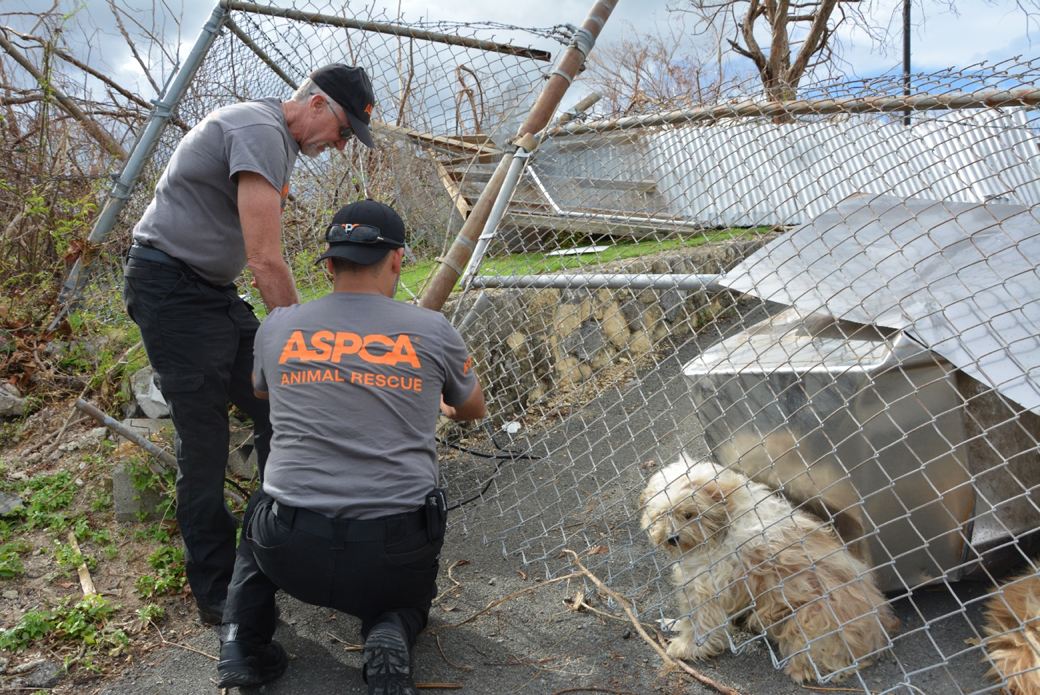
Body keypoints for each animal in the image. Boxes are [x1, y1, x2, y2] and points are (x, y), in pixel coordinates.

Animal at [636, 455, 898, 682]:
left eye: (689, 514)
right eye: (661, 515)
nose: (672, 538)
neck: (726, 521)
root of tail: (879, 625)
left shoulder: (707, 587)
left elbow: (701, 623)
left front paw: (687, 647)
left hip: (811, 617)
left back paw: (804, 669)